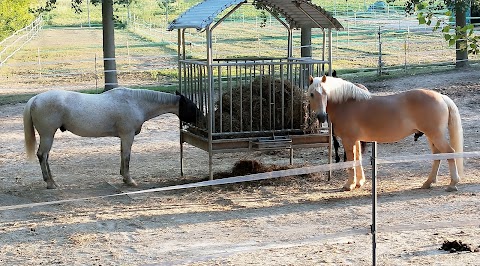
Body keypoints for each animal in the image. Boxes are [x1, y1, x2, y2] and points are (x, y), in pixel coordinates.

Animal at [23, 88, 203, 188]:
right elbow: (127, 156)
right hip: (47, 135)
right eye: (192, 107)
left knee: (45, 157)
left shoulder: (124, 137)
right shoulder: (128, 135)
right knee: (42, 155)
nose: (203, 120)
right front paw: (130, 180)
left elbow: (122, 155)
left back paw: (52, 181)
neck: (135, 102)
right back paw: (50, 183)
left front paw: (123, 177)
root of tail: (35, 99)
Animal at [310, 75, 464, 191]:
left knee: (450, 152)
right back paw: (428, 182)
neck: (346, 103)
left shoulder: (349, 140)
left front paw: (349, 185)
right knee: (437, 156)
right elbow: (358, 159)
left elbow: (351, 162)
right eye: (312, 94)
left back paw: (452, 183)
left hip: (435, 135)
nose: (321, 116)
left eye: (325, 93)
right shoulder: (356, 140)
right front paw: (359, 182)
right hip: (431, 136)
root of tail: (441, 97)